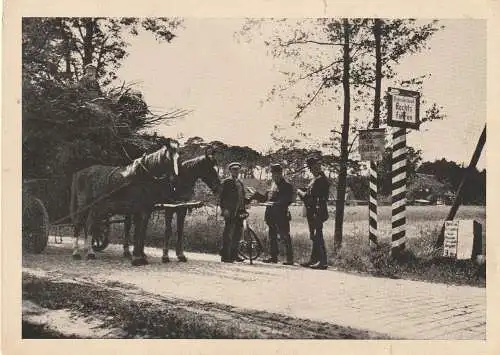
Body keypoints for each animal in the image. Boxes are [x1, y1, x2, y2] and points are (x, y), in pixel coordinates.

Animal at [69, 140, 181, 268]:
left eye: (178, 157)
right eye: (168, 158)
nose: (175, 179)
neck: (142, 176)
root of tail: (79, 172)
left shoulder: (145, 211)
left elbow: (141, 233)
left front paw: (141, 257)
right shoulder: (139, 210)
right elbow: (137, 233)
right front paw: (136, 258)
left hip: (95, 207)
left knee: (89, 224)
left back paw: (90, 252)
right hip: (84, 205)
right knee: (78, 224)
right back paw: (76, 253)